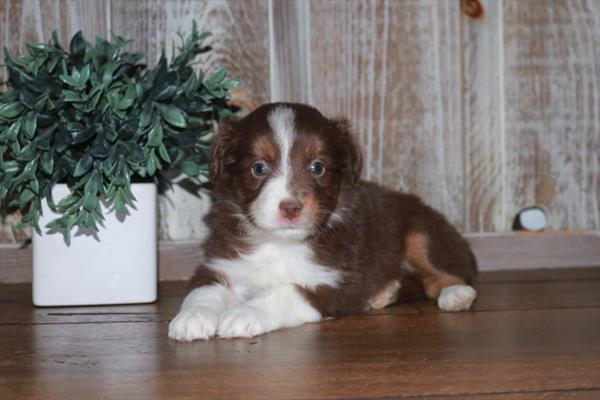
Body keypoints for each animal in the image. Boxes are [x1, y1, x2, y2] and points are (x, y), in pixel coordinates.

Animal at [169, 102, 478, 340]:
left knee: (447, 274)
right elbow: (203, 291)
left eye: (317, 167)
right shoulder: (220, 264)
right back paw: (386, 292)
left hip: (420, 233)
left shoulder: (336, 283)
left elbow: (284, 291)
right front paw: (191, 318)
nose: (291, 207)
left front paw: (244, 313)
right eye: (259, 168)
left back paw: (457, 294)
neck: (279, 243)